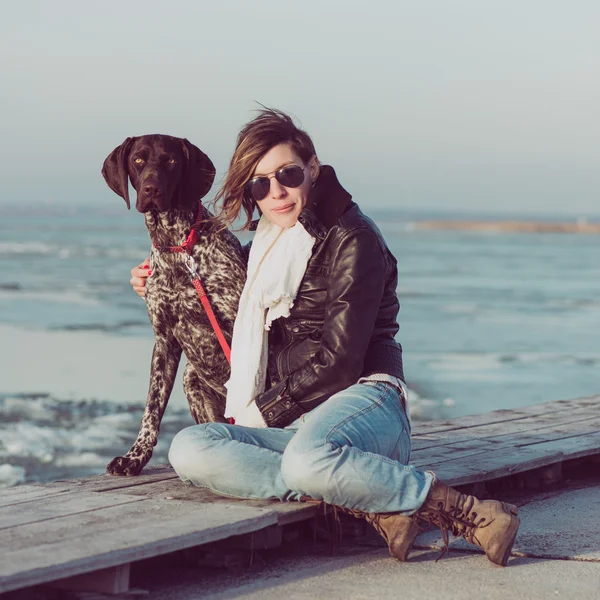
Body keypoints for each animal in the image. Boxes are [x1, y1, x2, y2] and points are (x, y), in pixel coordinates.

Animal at [102, 134, 247, 476]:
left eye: (170, 161)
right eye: (138, 160)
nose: (151, 189)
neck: (177, 248)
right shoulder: (164, 340)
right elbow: (152, 408)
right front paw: (134, 456)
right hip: (191, 378)